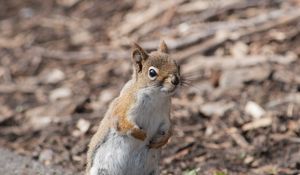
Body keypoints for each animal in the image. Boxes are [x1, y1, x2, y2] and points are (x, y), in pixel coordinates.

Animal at [85, 40, 180, 175]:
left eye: (177, 65)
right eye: (152, 73)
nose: (176, 80)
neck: (156, 97)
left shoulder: (165, 116)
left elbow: (169, 129)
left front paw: (161, 140)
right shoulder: (124, 107)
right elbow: (122, 123)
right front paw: (142, 135)